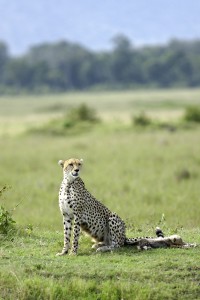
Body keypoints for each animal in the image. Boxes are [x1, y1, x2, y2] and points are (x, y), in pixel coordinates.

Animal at [56, 157, 197, 255]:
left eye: (79, 164)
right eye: (70, 164)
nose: (77, 170)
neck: (69, 183)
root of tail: (124, 236)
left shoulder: (77, 215)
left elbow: (74, 236)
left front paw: (73, 252)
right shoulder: (66, 215)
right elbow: (66, 235)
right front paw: (64, 252)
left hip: (113, 217)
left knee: (117, 245)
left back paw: (103, 248)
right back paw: (98, 245)